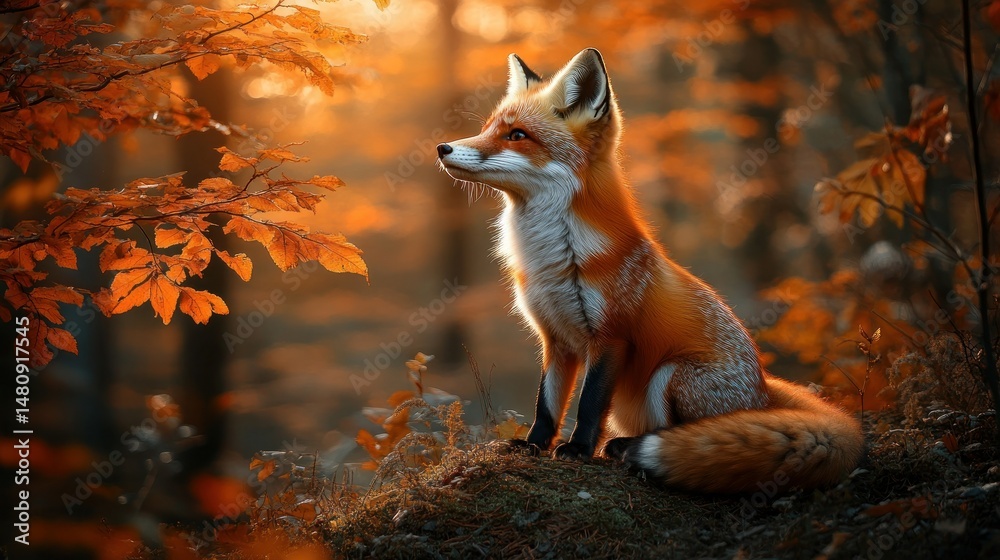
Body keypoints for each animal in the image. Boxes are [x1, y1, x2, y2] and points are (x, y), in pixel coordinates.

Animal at [435, 48, 863, 493]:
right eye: (487, 129)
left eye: (517, 135)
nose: (442, 148)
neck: (552, 258)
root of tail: (763, 392)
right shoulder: (555, 339)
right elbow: (546, 405)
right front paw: (534, 446)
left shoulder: (611, 336)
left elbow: (589, 404)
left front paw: (578, 449)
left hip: (671, 373)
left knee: (678, 433)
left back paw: (632, 450)